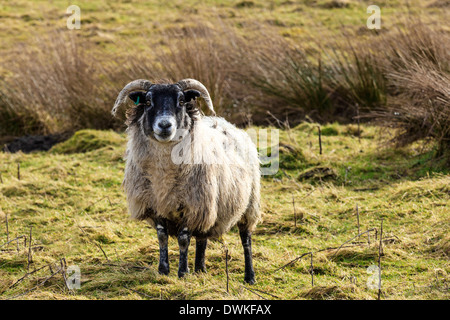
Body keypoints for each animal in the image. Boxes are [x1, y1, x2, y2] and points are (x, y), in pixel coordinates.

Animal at [110, 79, 262, 284]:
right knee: (202, 237)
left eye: (181, 101)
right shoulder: (157, 206)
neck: (164, 174)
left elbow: (183, 239)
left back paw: (249, 276)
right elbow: (162, 237)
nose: (165, 125)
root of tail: (228, 123)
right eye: (148, 102)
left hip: (248, 203)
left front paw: (182, 272)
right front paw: (163, 270)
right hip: (210, 203)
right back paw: (200, 269)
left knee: (246, 239)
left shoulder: (192, 207)